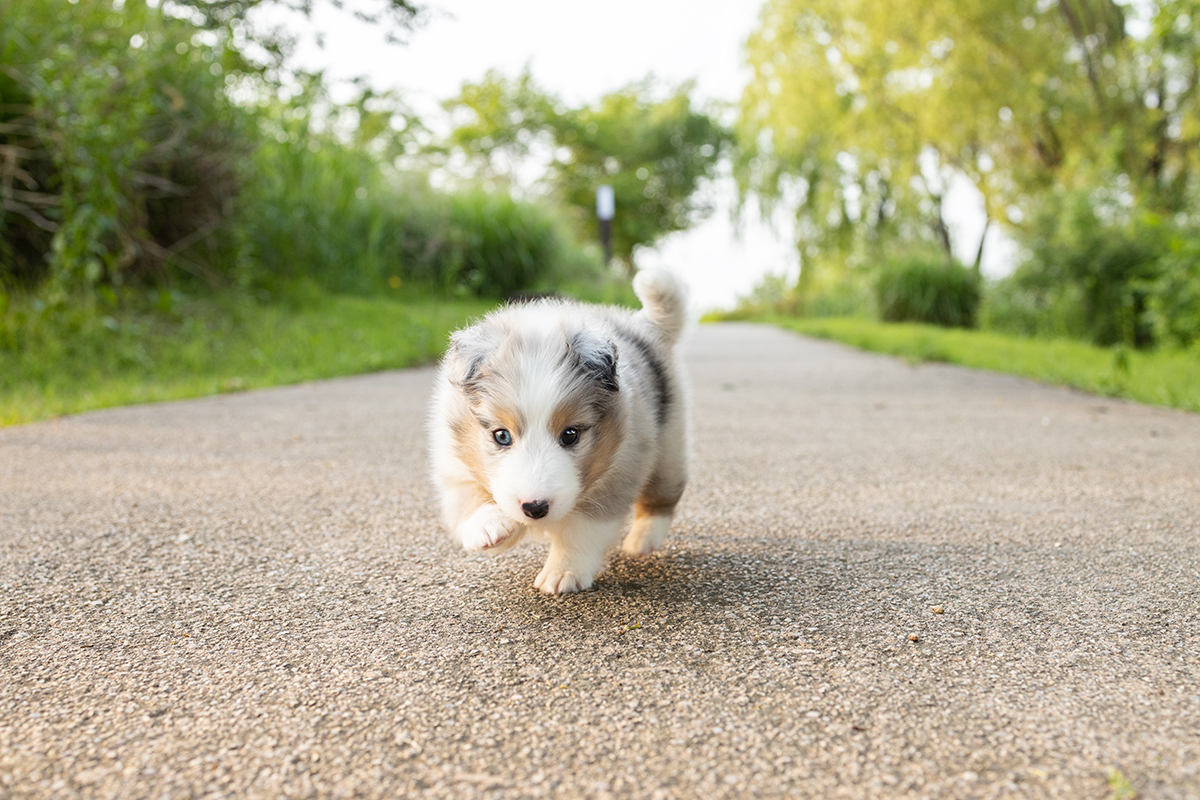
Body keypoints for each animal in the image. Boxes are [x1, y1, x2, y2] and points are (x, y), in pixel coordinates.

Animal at [432, 268, 696, 594]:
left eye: (570, 435)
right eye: (501, 435)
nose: (534, 507)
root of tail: (645, 325)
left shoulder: (615, 478)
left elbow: (579, 533)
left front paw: (563, 572)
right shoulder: (454, 464)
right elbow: (469, 499)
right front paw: (490, 527)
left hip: (668, 448)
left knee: (661, 498)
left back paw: (641, 541)